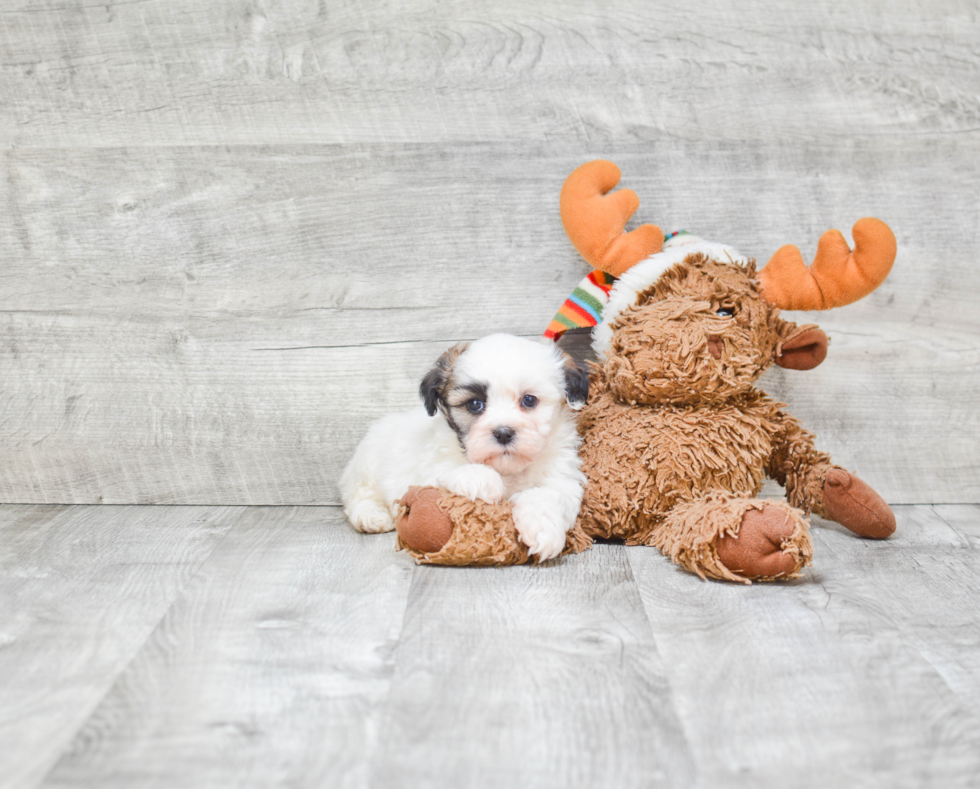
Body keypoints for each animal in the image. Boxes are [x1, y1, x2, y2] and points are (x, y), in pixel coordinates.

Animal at [342, 332, 588, 560]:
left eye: (529, 400)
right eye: (475, 404)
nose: (503, 432)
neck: (507, 470)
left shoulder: (562, 478)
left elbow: (549, 494)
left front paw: (543, 530)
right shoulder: (430, 469)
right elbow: (452, 470)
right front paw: (483, 479)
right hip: (368, 464)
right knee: (358, 497)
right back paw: (371, 517)